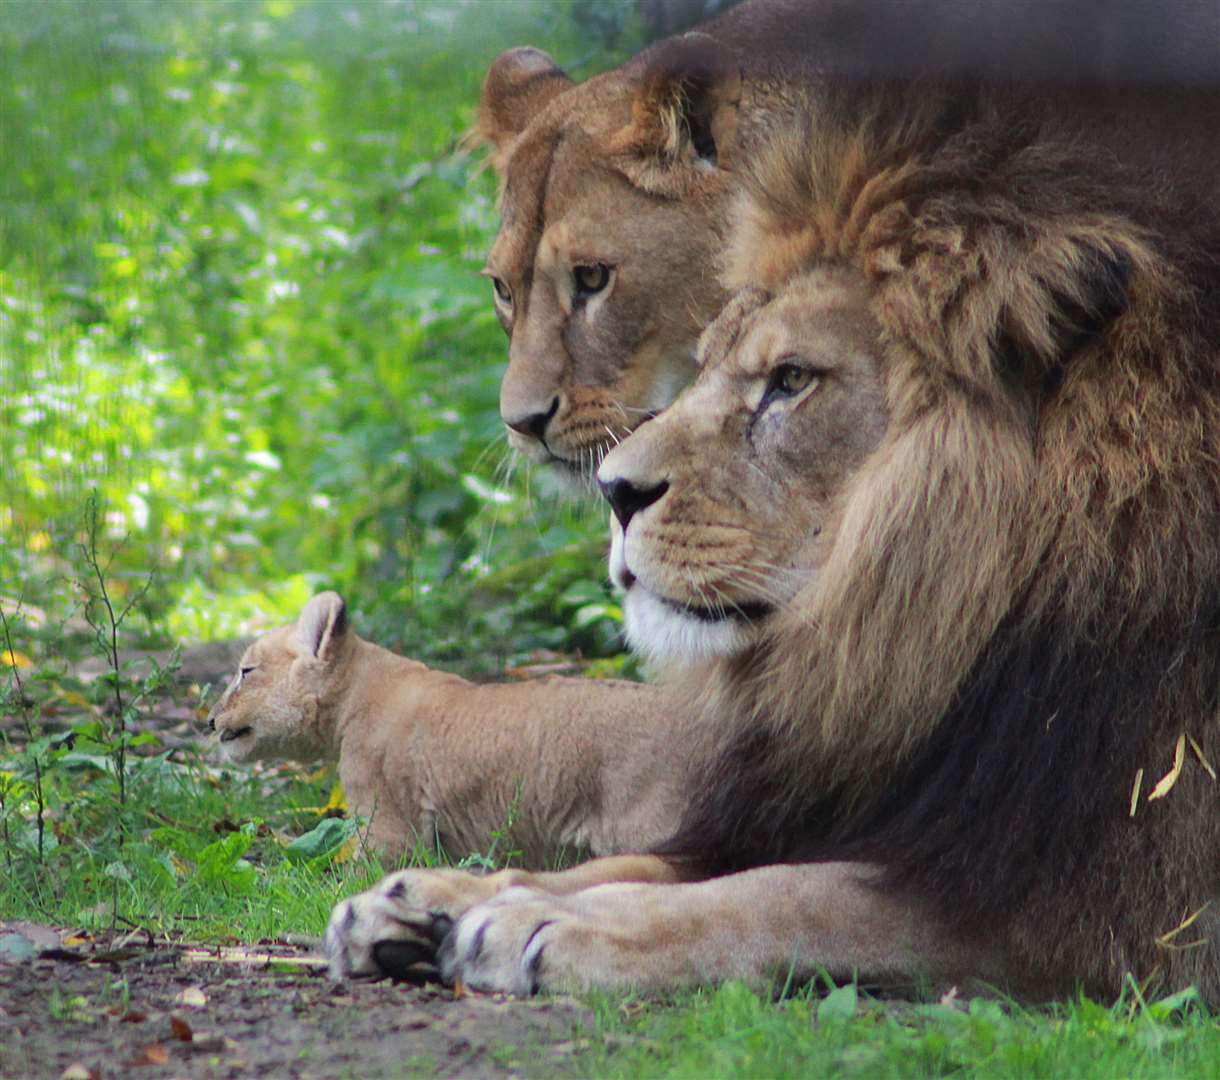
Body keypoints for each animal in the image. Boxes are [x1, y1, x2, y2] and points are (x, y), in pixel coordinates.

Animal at [329, 86, 1220, 1000]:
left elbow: (789, 897)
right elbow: (651, 863)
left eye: (791, 381)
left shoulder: (1103, 913)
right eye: (708, 362)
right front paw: (436, 898)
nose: (615, 490)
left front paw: (544, 923)